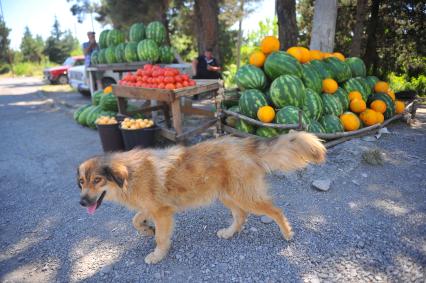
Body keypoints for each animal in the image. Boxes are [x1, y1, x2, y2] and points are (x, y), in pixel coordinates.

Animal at [76, 132, 326, 266]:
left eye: (97, 180)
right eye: (82, 182)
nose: (82, 202)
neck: (130, 175)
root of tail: (244, 144)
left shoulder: (163, 213)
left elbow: (161, 238)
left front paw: (157, 254)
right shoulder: (155, 207)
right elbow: (135, 219)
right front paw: (146, 229)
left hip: (244, 196)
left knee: (275, 211)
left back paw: (287, 232)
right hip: (227, 195)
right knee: (240, 216)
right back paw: (229, 232)